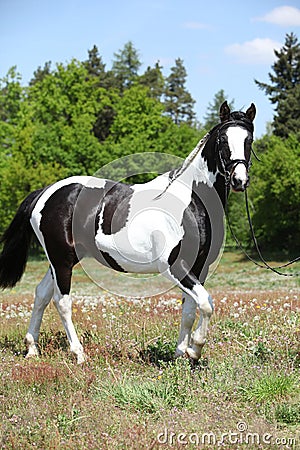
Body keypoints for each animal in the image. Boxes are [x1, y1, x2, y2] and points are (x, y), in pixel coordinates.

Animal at [0, 101, 255, 362]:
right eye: (222, 140)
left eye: (249, 139)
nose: (239, 180)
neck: (190, 201)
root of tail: (45, 192)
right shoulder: (174, 265)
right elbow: (205, 303)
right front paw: (195, 349)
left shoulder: (199, 266)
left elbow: (189, 310)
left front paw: (181, 354)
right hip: (61, 260)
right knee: (61, 302)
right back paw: (79, 354)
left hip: (64, 260)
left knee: (41, 294)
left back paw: (32, 348)